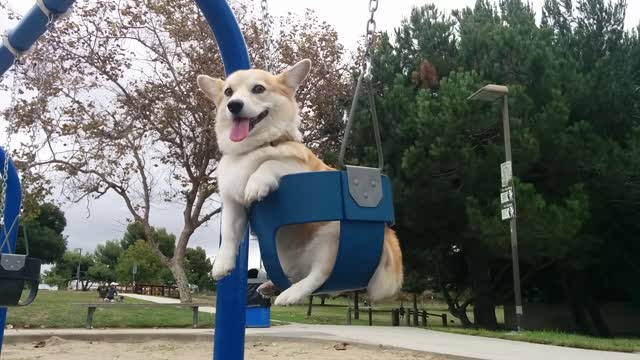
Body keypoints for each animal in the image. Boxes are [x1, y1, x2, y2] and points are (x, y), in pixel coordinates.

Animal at [198, 59, 402, 306]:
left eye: (258, 89)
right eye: (228, 92)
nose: (234, 105)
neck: (252, 149)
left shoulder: (299, 169)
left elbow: (270, 163)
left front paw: (256, 182)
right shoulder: (233, 205)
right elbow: (228, 235)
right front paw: (222, 264)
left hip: (329, 239)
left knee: (320, 276)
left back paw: (290, 294)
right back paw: (271, 286)